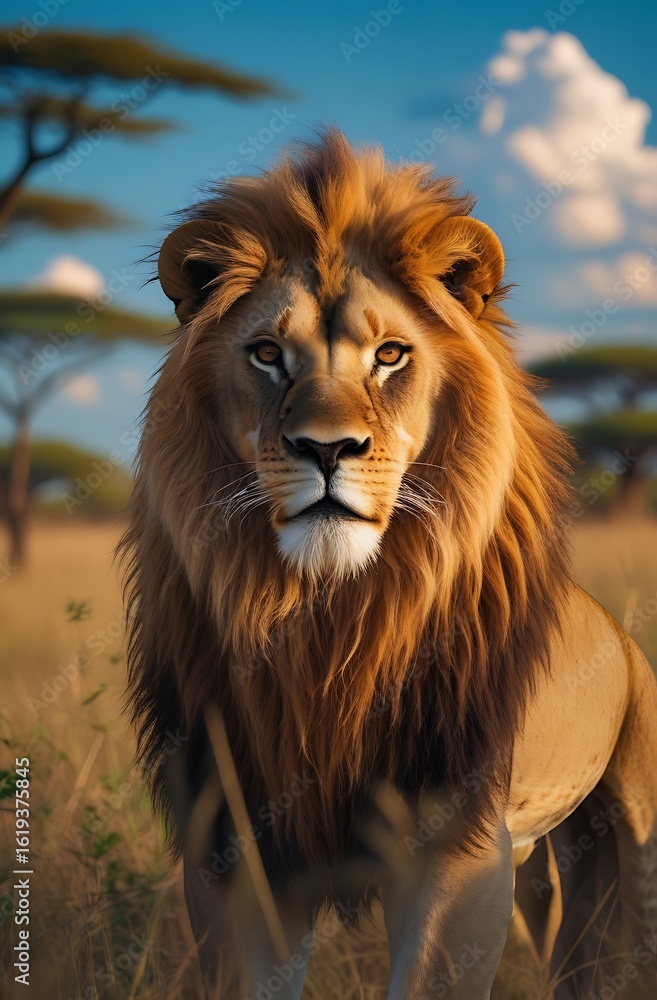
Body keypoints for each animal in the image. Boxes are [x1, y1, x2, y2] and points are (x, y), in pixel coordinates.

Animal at [120, 130, 657, 999]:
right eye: (266, 354)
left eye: (390, 355)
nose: (325, 448)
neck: (329, 623)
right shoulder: (235, 848)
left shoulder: (459, 846)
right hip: (550, 872)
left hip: (631, 842)